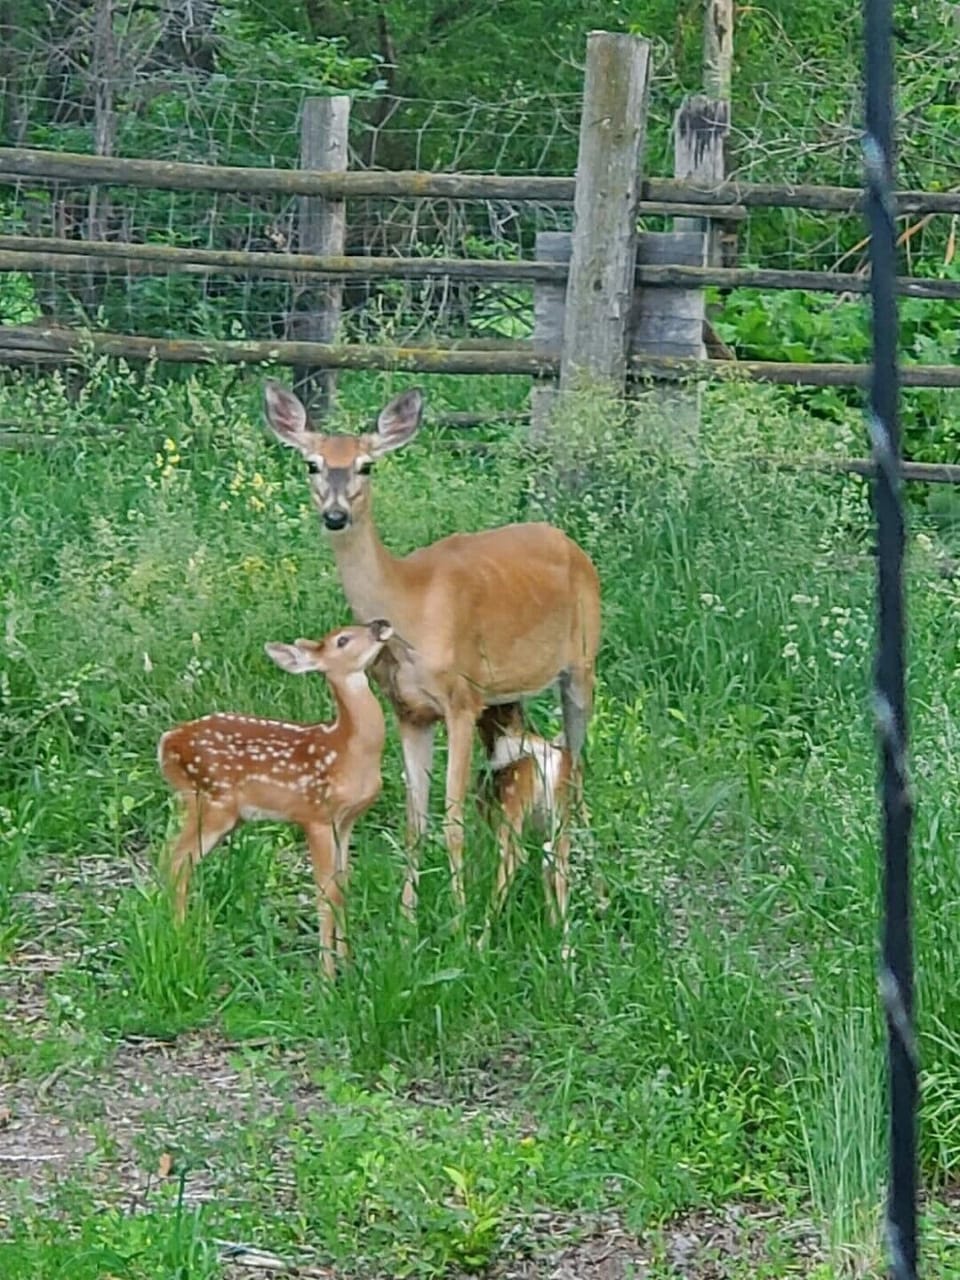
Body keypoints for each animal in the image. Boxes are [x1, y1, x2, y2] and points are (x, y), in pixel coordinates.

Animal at [157, 619, 393, 978]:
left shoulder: (347, 820)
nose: (381, 624)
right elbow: (324, 892)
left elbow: (342, 887)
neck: (347, 752)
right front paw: (327, 976)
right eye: (342, 639)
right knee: (176, 860)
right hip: (211, 801)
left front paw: (349, 963)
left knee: (174, 859)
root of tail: (167, 742)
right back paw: (182, 939)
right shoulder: (315, 815)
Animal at [262, 380, 602, 924]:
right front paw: (408, 919)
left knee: (580, 760)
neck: (410, 605)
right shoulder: (410, 712)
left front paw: (460, 919)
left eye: (366, 465)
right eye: (312, 463)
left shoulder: (462, 699)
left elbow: (453, 819)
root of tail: (569, 541)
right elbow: (414, 823)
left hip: (583, 666)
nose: (335, 515)